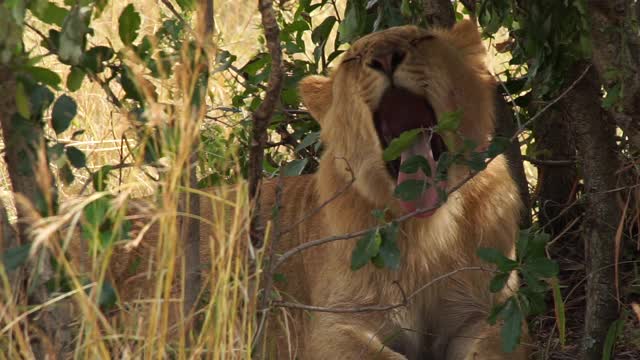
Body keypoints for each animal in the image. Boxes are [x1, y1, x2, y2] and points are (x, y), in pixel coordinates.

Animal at [62, 20, 528, 360]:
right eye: (355, 58)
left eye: (421, 39)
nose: (384, 58)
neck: (428, 231)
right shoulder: (330, 326)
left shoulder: (490, 313)